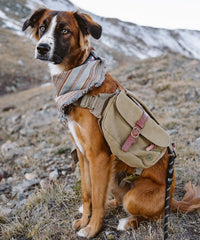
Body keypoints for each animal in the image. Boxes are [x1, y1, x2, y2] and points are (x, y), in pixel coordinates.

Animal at [21, 8, 200, 238]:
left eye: (65, 30)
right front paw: (84, 220)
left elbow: (97, 198)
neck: (81, 87)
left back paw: (128, 222)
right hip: (114, 175)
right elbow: (87, 193)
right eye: (42, 27)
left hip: (134, 194)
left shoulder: (98, 156)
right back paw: (109, 206)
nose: (42, 48)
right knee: (116, 199)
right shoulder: (83, 154)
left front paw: (92, 229)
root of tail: (172, 199)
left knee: (152, 214)